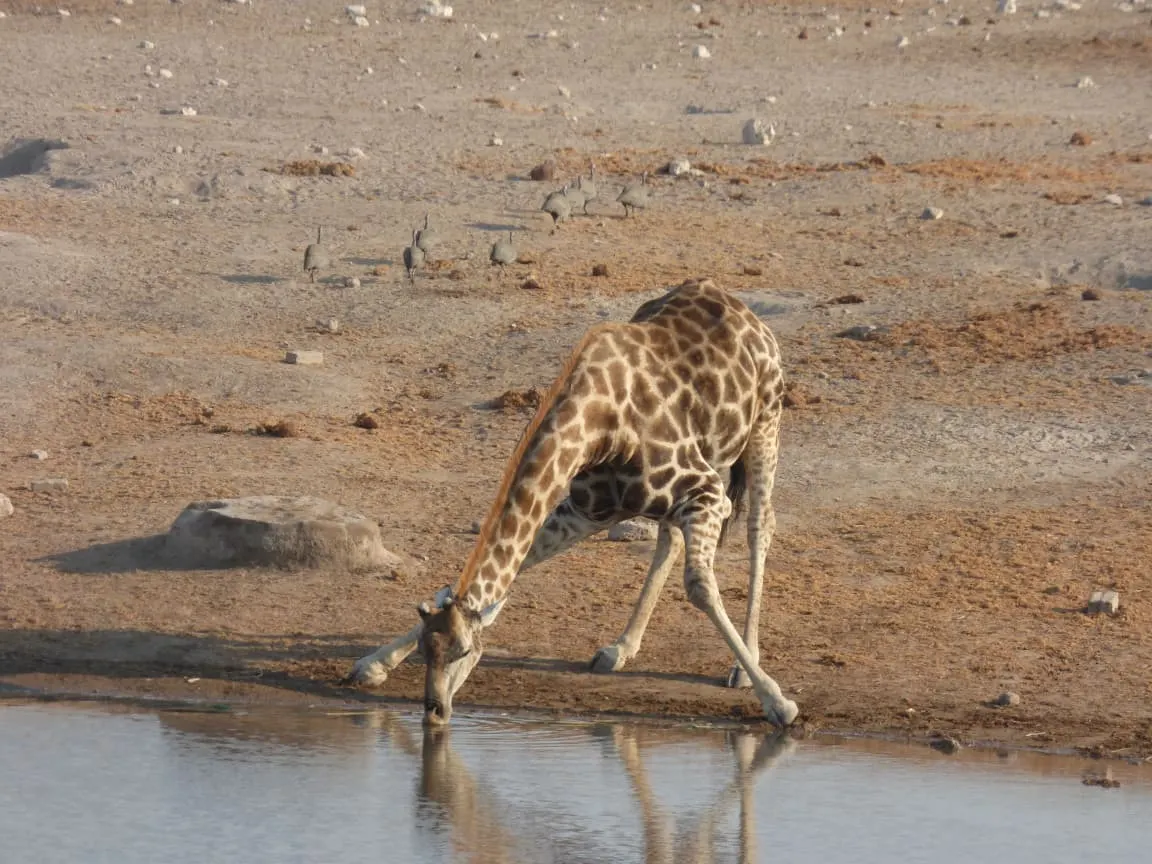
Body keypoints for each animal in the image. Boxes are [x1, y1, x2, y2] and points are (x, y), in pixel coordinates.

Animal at [350, 278, 801, 732]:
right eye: (428, 650)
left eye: (465, 651)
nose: (434, 712)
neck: (599, 427)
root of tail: (740, 307)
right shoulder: (588, 510)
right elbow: (523, 561)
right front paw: (372, 664)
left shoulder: (706, 492)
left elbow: (701, 586)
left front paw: (777, 701)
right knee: (670, 538)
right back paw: (620, 648)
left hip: (765, 424)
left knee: (760, 524)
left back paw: (744, 666)